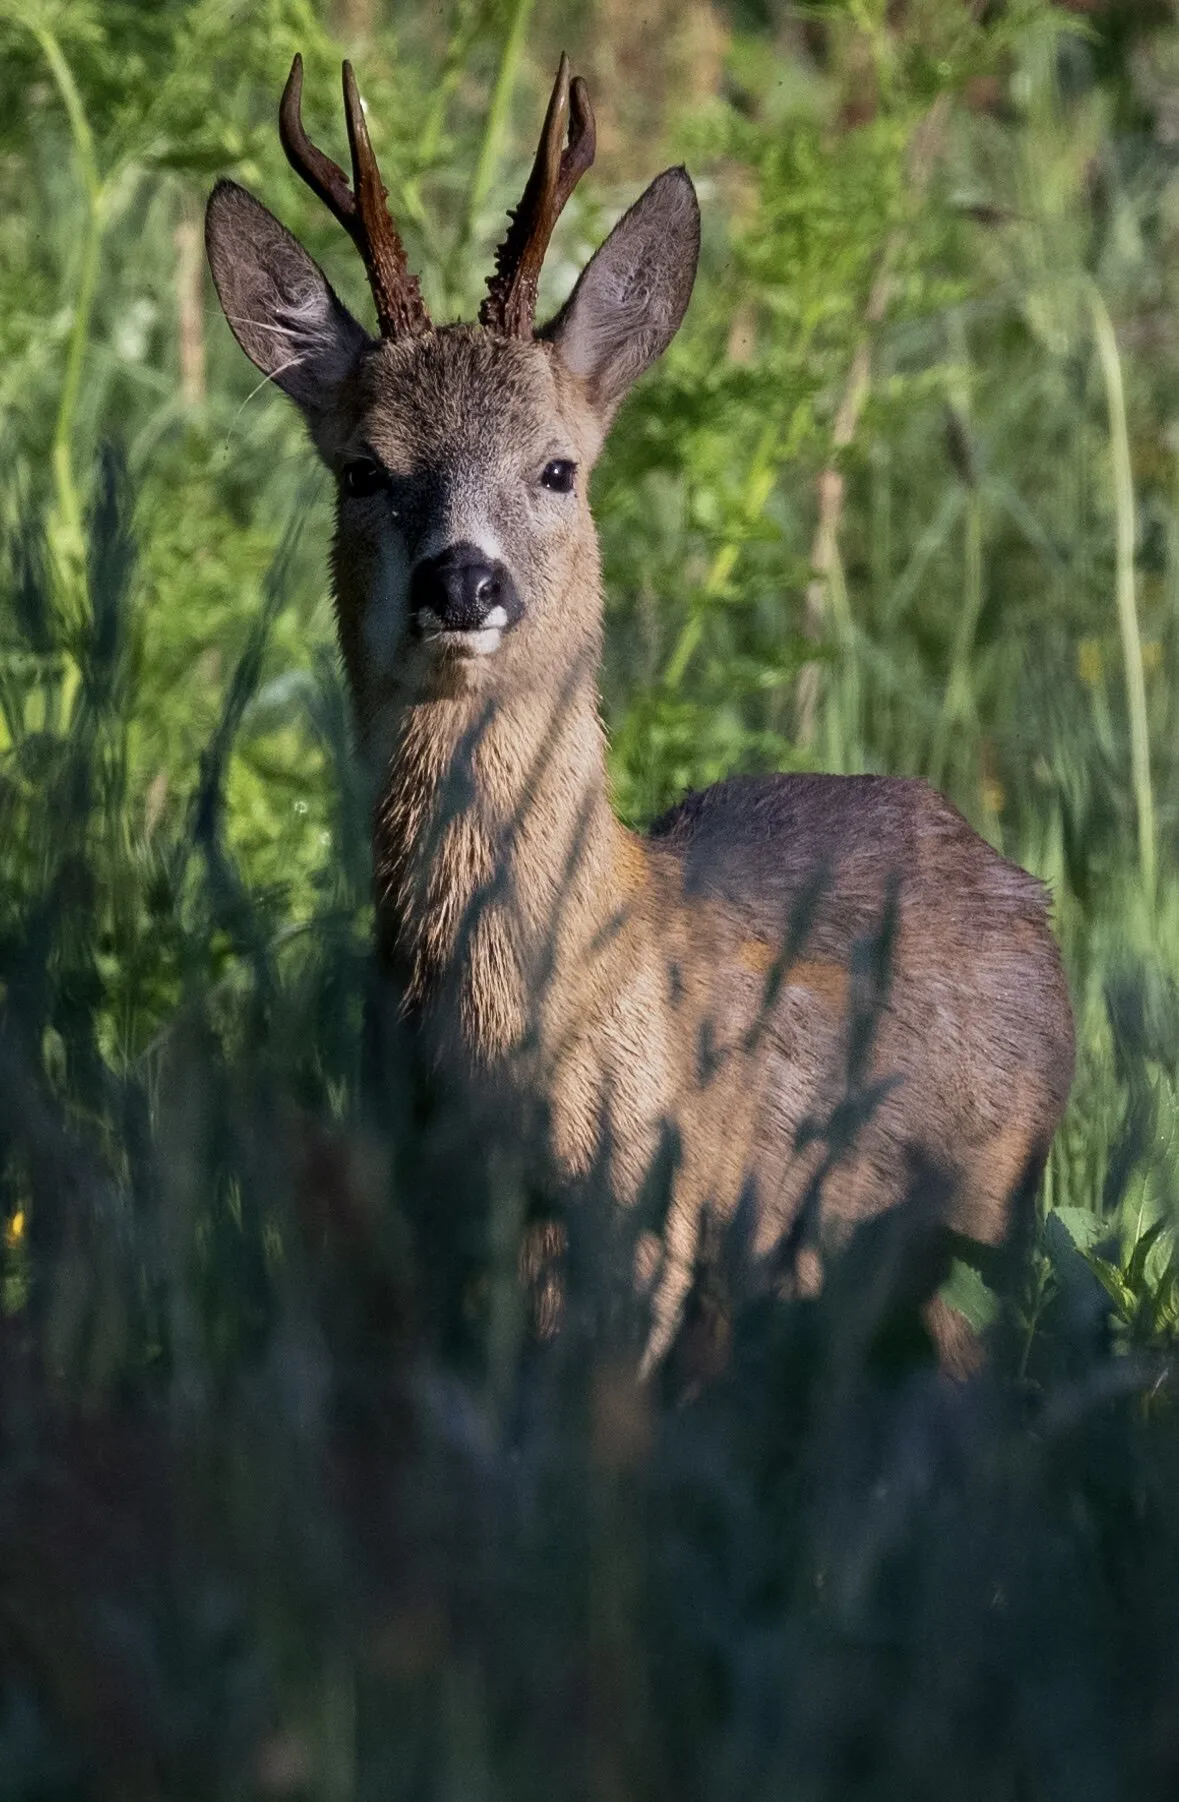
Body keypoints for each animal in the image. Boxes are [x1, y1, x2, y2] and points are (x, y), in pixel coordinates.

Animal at [204, 54, 1075, 1376]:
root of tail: (1022, 886)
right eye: (364, 468)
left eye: (559, 466)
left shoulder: (645, 1222)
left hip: (986, 1204)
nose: (464, 581)